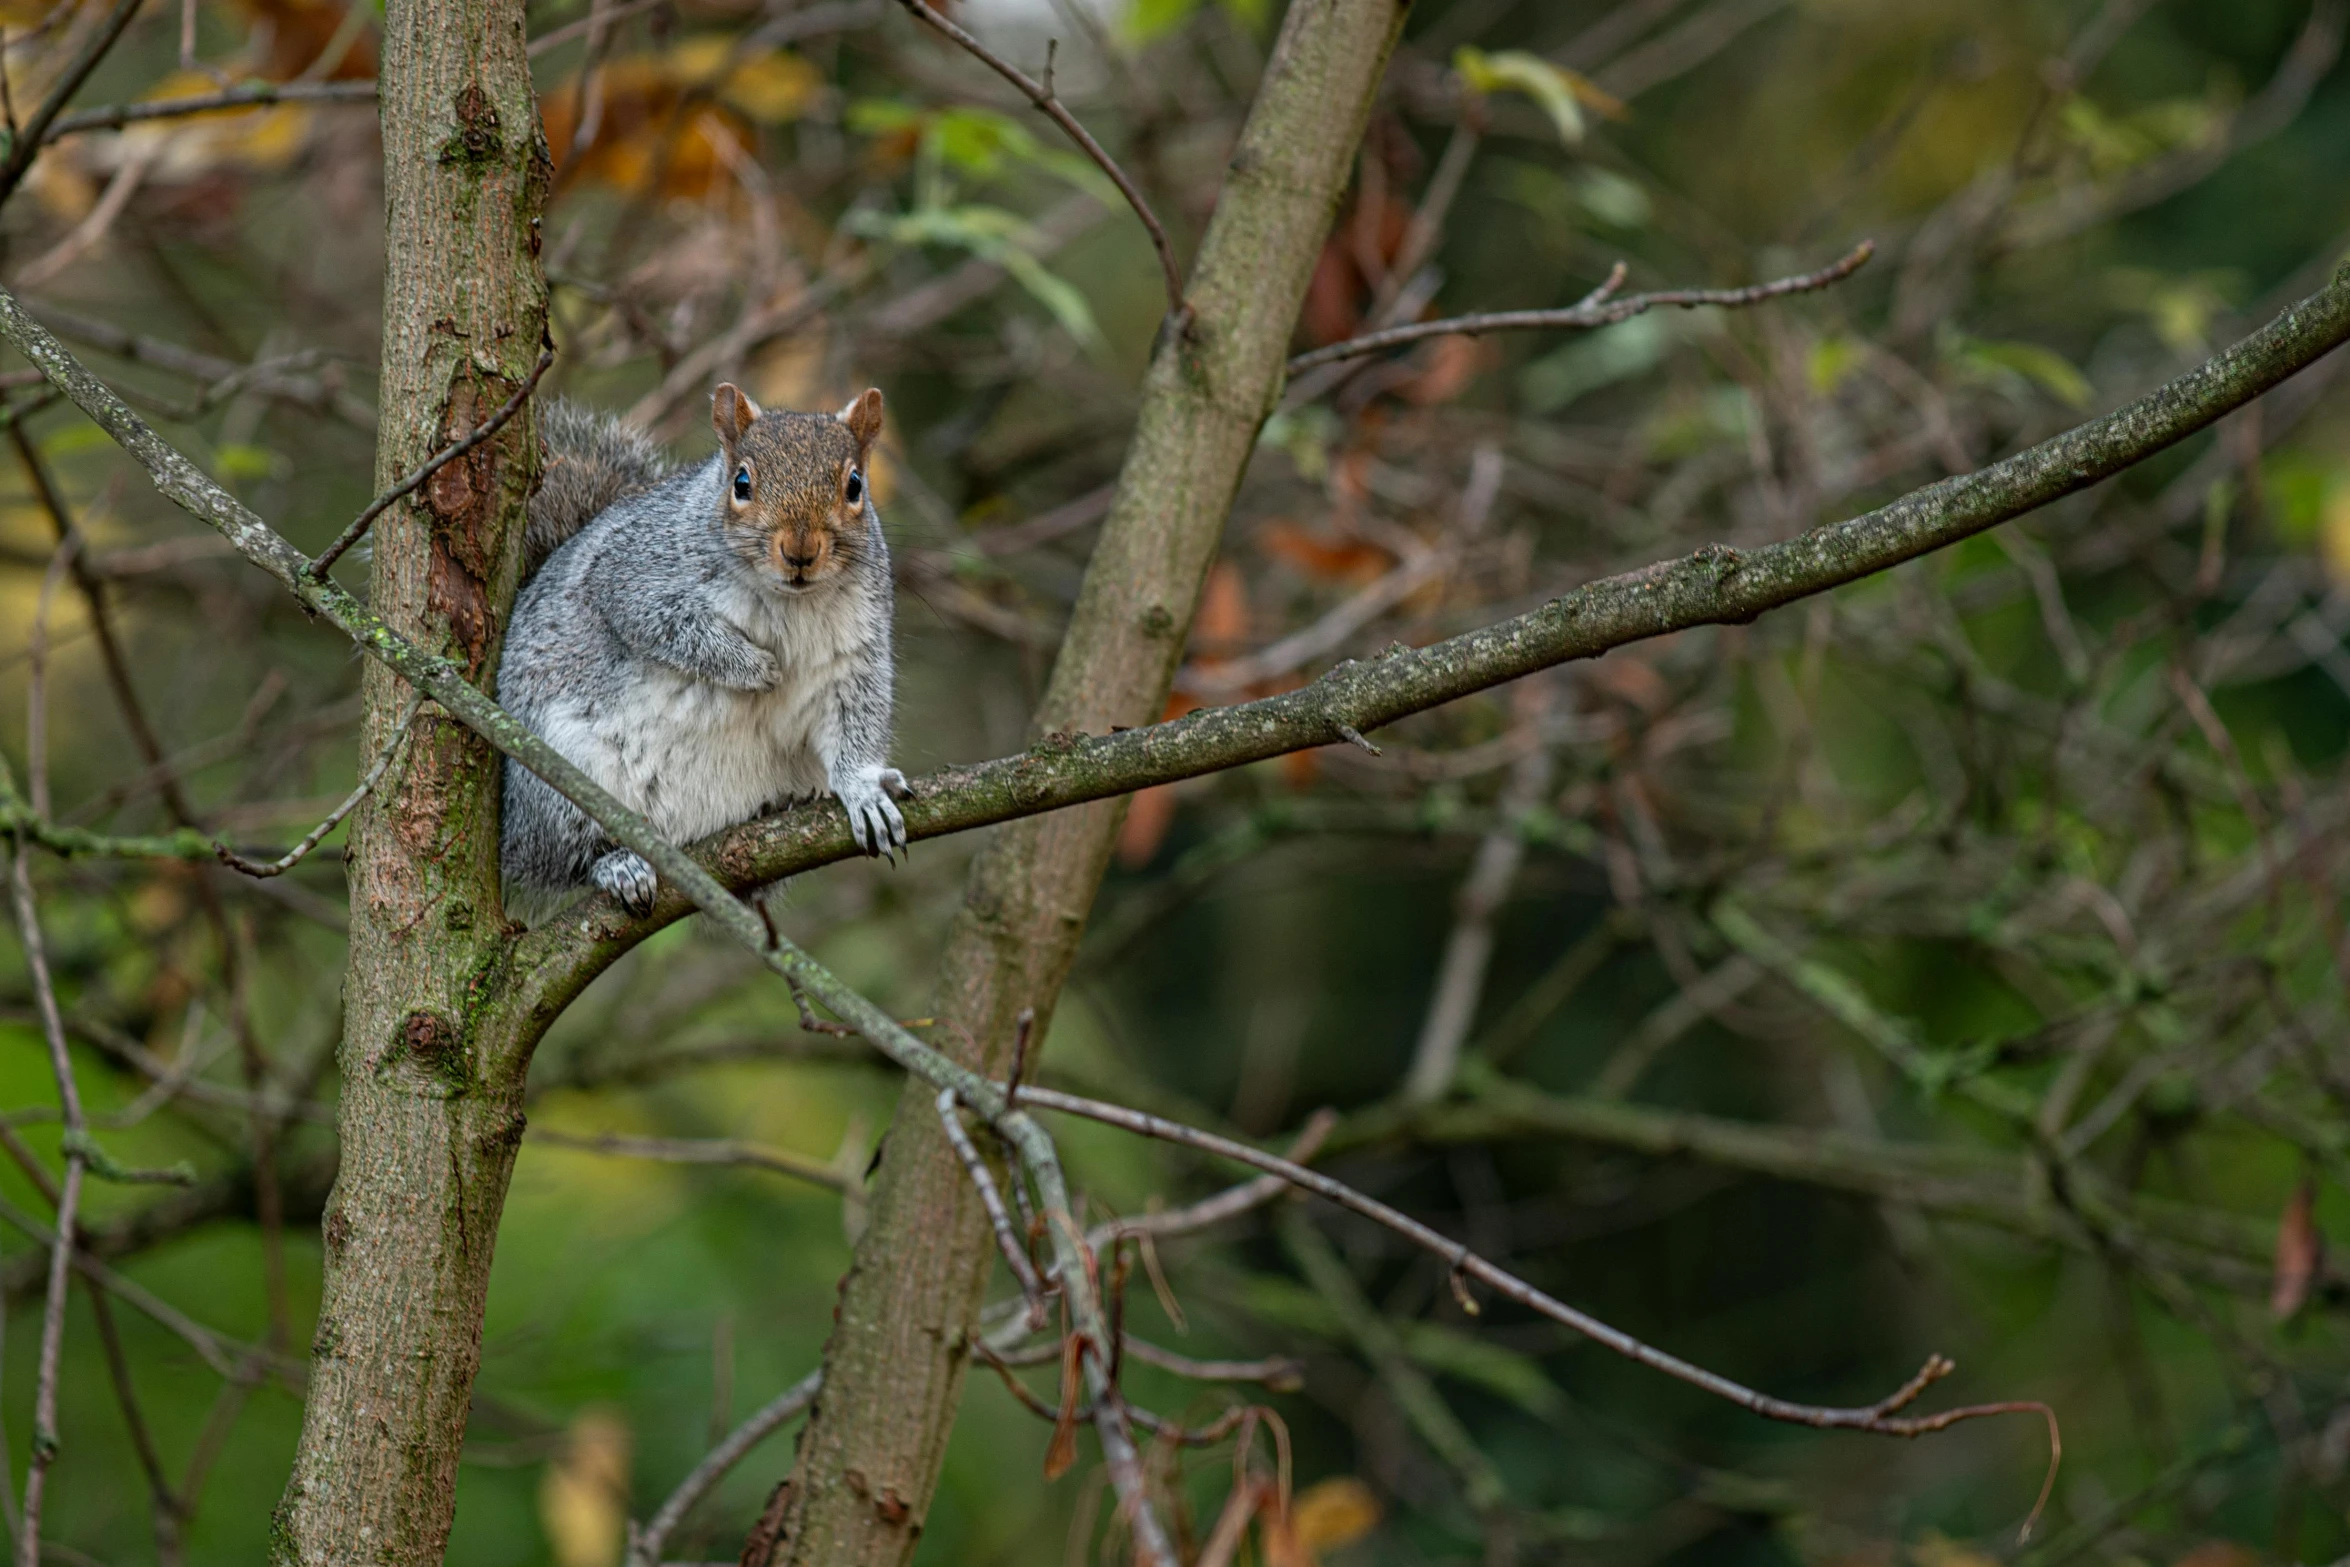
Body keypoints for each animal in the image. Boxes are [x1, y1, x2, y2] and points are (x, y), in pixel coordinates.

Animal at [500, 382, 902, 920]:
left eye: (855, 485)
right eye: (742, 483)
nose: (800, 552)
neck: (789, 601)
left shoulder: (856, 654)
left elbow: (855, 719)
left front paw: (864, 790)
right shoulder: (632, 576)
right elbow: (668, 628)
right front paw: (757, 669)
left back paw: (775, 809)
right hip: (557, 779)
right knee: (567, 858)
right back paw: (617, 864)